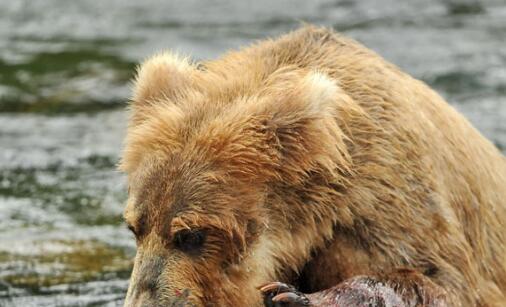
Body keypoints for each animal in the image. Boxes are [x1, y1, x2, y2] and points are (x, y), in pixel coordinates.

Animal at [119, 27, 506, 307]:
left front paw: (291, 296)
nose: (145, 304)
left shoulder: (392, 201)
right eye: (135, 227)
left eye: (192, 234)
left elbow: (439, 282)